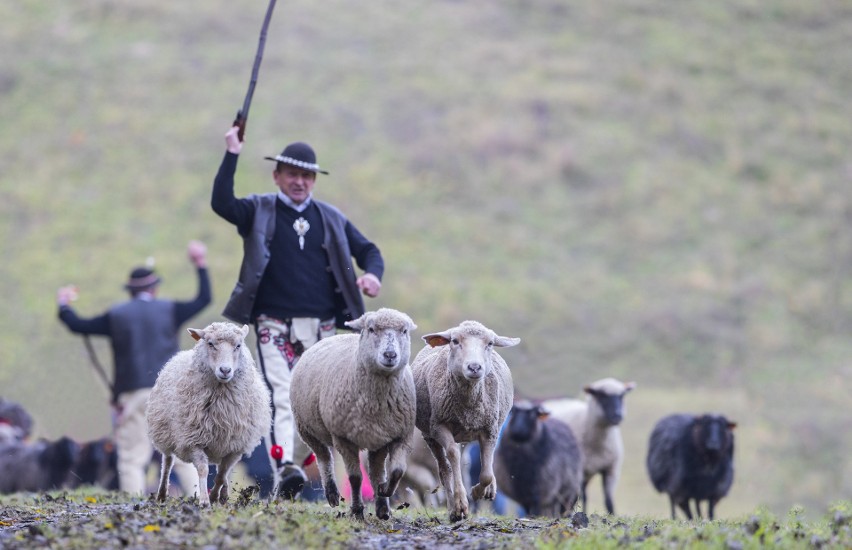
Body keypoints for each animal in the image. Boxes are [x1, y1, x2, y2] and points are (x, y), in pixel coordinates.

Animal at [146, 324, 272, 508]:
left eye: (238, 345)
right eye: (210, 344)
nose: (225, 370)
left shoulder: (235, 447)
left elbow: (222, 474)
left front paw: (214, 496)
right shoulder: (193, 440)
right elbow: (203, 469)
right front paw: (205, 500)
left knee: (223, 472)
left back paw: (224, 495)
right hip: (165, 433)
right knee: (167, 463)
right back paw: (162, 495)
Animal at [288, 310, 418, 520]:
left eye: (404, 331)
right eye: (371, 329)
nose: (390, 355)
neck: (376, 403)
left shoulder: (400, 436)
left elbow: (396, 471)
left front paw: (384, 492)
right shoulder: (344, 439)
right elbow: (356, 478)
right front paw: (357, 511)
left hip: (376, 439)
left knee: (375, 471)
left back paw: (382, 507)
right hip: (306, 429)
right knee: (323, 458)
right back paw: (332, 494)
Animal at [412, 322, 520, 524]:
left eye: (490, 343)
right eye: (454, 341)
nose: (475, 367)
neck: (469, 406)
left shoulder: (490, 428)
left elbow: (486, 473)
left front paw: (478, 491)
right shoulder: (438, 426)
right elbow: (452, 455)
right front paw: (461, 504)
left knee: (477, 463)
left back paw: (489, 490)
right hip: (429, 434)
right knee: (445, 468)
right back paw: (452, 508)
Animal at [544, 378, 632, 516]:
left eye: (621, 395)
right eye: (601, 395)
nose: (617, 416)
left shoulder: (611, 469)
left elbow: (608, 500)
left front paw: (612, 514)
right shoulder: (581, 470)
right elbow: (582, 497)